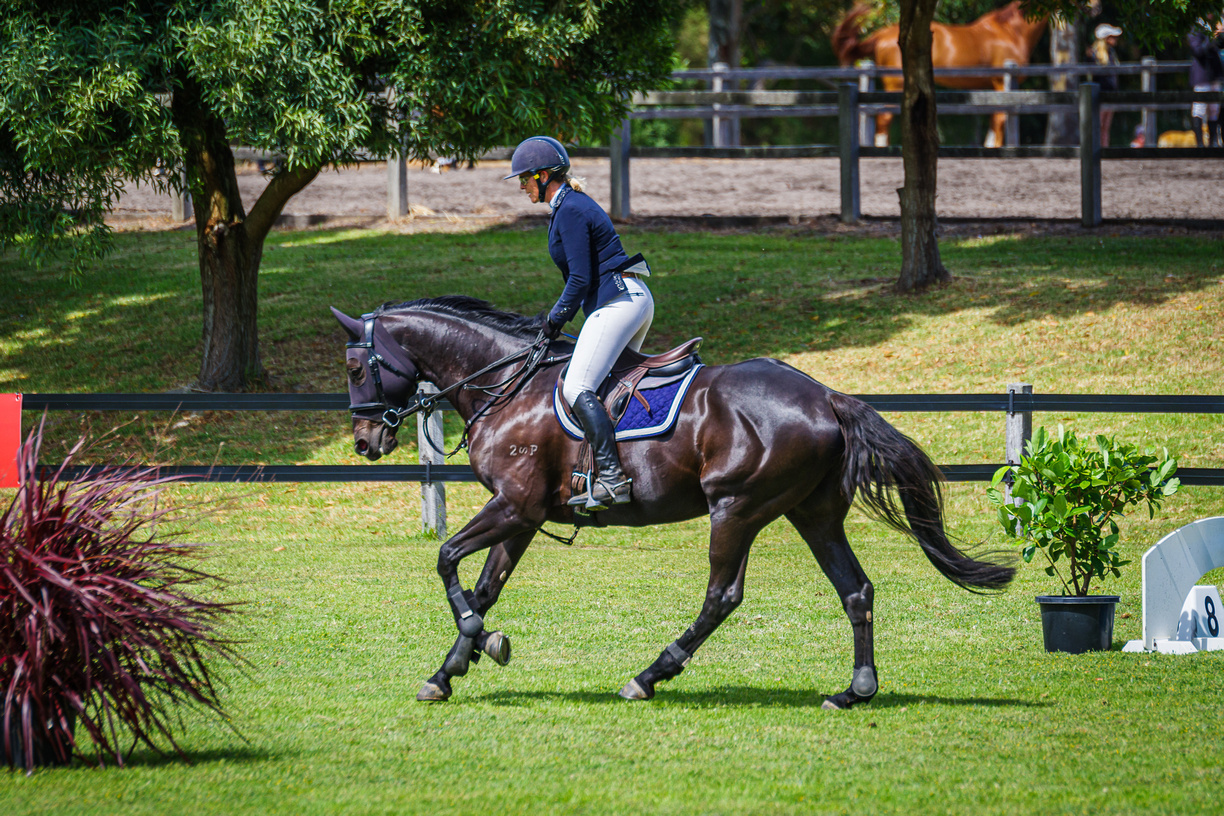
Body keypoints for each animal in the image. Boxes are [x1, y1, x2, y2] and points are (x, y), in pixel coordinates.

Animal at [332, 296, 1014, 708]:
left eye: (356, 368)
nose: (365, 441)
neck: (505, 384)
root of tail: (826, 397)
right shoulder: (522, 516)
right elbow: (483, 586)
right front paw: (449, 671)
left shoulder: (515, 507)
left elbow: (447, 560)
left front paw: (482, 641)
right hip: (811, 514)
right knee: (856, 590)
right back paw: (855, 690)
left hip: (736, 509)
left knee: (723, 596)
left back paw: (649, 675)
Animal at [832, 1, 1048, 147]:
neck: (1011, 31)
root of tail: (881, 35)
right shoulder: (1002, 83)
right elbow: (1000, 118)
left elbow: (995, 119)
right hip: (895, 86)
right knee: (883, 118)